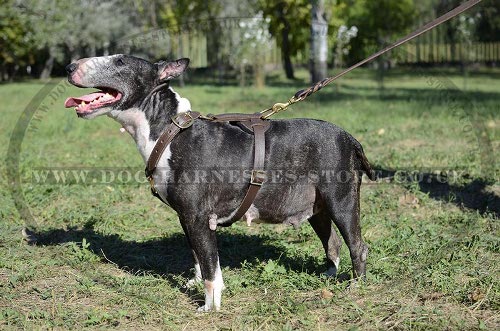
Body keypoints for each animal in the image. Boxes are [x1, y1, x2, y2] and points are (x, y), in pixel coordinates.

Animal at [64, 53, 374, 312]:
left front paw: (210, 306)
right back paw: (328, 276)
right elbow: (198, 256)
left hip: (341, 200)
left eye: (119, 62)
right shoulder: (186, 217)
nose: (69, 67)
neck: (168, 131)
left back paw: (355, 287)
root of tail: (350, 138)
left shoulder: (198, 216)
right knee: (332, 242)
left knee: (357, 245)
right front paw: (193, 283)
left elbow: (211, 267)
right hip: (317, 206)